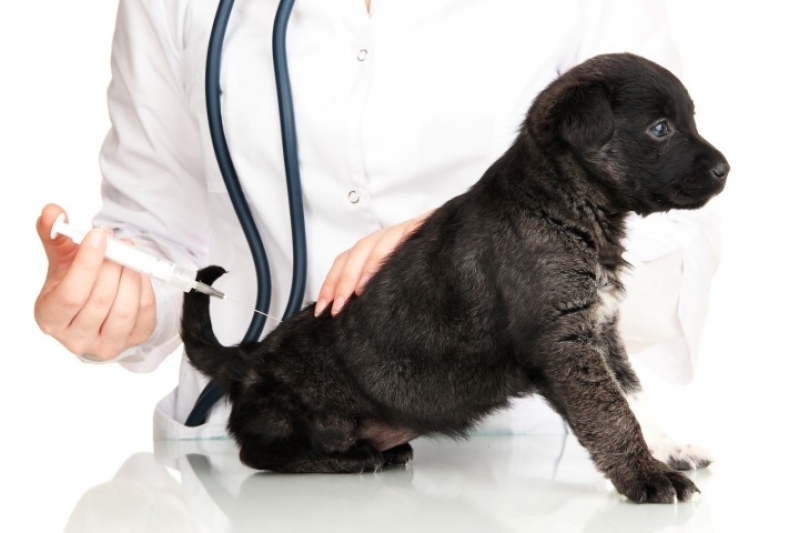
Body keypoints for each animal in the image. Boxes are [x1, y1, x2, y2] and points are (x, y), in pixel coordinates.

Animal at [183, 53, 732, 502]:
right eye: (660, 129)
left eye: (689, 120)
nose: (726, 169)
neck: (559, 201)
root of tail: (248, 360)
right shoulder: (564, 344)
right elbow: (613, 414)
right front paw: (646, 477)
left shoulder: (600, 329)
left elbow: (637, 398)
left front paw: (668, 450)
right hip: (312, 419)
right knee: (255, 453)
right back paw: (355, 458)